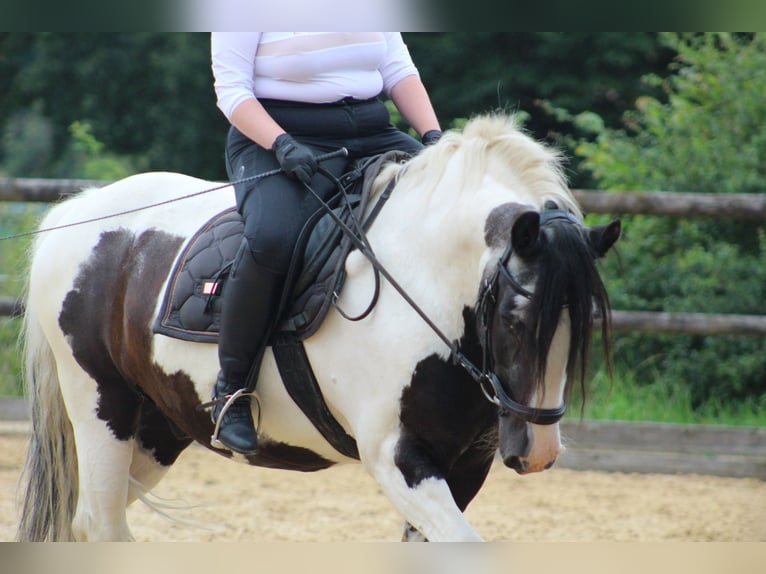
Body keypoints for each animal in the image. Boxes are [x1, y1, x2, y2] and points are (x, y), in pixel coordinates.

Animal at [15, 113, 620, 544]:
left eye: (584, 322)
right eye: (516, 321)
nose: (539, 451)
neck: (425, 281)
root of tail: (75, 213)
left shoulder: (464, 464)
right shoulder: (396, 457)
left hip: (159, 428)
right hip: (103, 406)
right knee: (101, 524)